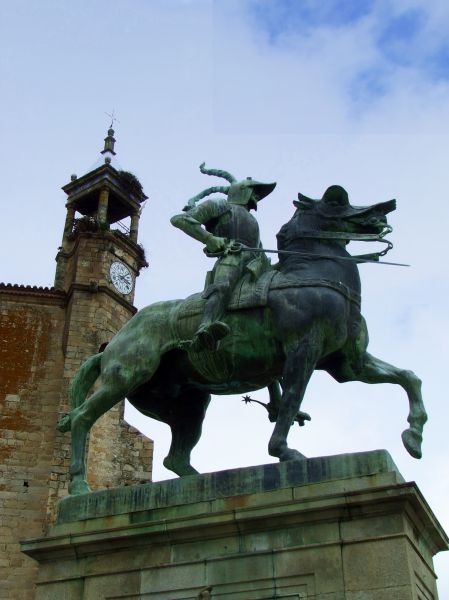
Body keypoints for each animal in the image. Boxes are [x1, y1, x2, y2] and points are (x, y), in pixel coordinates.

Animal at [57, 185, 426, 494]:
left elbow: (409, 377)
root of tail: (112, 344)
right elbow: (291, 401)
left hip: (188, 404)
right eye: (336, 200)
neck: (311, 275)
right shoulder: (302, 352)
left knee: (174, 458)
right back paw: (79, 487)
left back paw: (203, 484)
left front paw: (414, 436)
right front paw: (284, 452)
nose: (385, 210)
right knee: (82, 418)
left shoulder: (348, 364)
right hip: (126, 377)